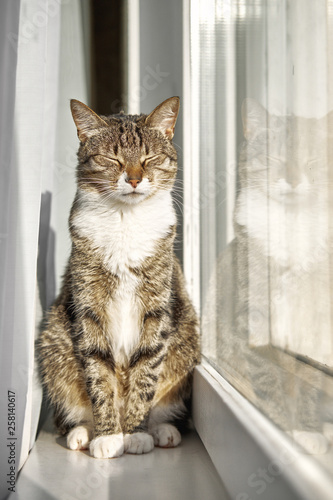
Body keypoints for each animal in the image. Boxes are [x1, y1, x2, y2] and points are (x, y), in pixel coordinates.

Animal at [39, 95, 200, 458]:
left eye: (149, 157)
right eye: (111, 158)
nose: (135, 179)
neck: (126, 220)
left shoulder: (157, 306)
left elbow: (146, 372)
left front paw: (136, 434)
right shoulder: (88, 306)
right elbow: (98, 375)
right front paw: (109, 436)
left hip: (186, 338)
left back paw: (162, 430)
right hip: (54, 341)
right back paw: (82, 433)